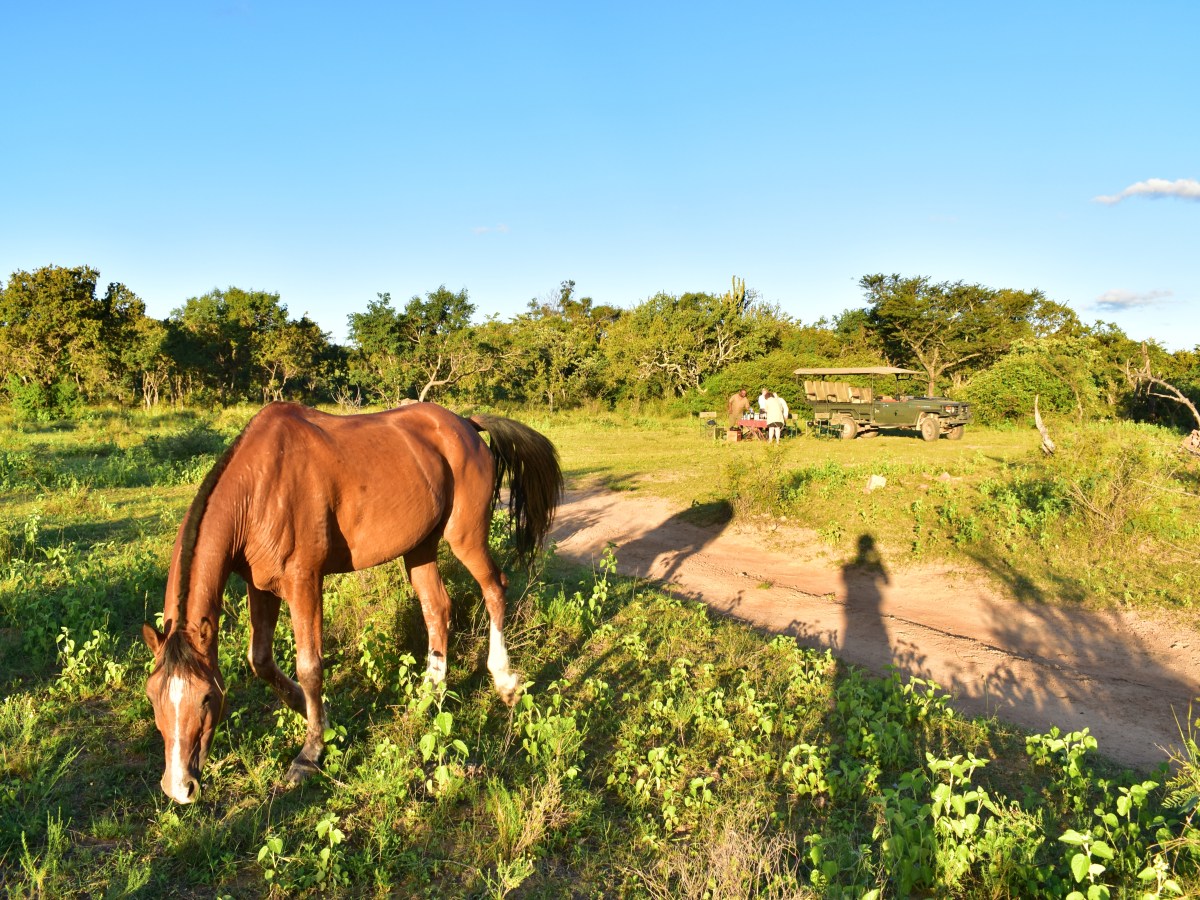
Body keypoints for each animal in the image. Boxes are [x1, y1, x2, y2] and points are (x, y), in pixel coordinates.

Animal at [141, 401, 562, 804]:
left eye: (206, 697)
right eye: (152, 696)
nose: (179, 788)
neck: (258, 489)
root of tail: (465, 425)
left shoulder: (303, 582)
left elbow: (309, 666)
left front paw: (310, 752)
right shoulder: (260, 586)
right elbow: (260, 660)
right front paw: (316, 716)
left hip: (465, 536)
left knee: (495, 590)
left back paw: (505, 681)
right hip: (420, 547)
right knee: (436, 608)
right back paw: (429, 693)